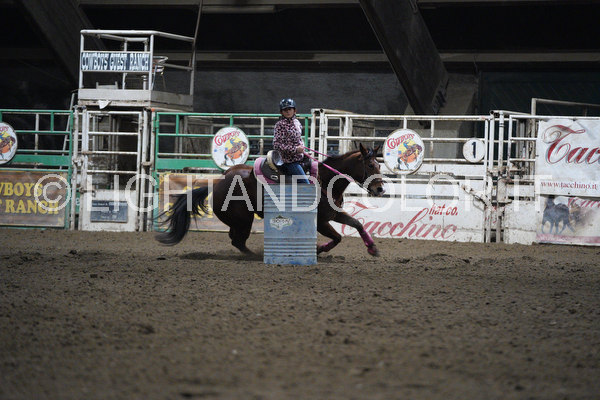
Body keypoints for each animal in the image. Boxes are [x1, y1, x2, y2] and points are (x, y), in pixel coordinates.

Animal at [156, 144, 386, 257]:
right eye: (371, 165)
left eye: (379, 164)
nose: (380, 188)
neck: (326, 181)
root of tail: (217, 182)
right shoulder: (321, 221)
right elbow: (338, 237)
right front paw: (318, 249)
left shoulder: (334, 214)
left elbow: (356, 224)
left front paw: (373, 249)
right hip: (244, 219)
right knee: (238, 241)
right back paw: (254, 255)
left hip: (238, 220)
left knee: (235, 239)